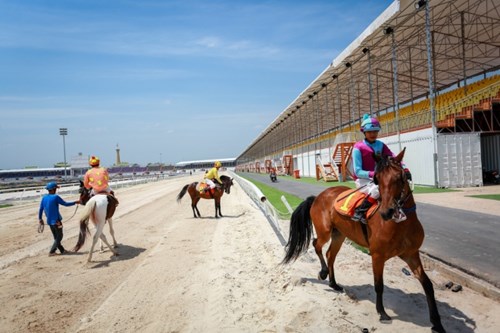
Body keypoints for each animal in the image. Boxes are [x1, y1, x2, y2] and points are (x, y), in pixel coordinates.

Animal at [282, 150, 446, 332]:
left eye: (400, 177)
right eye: (377, 179)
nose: (387, 212)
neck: (400, 224)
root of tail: (318, 196)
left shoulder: (411, 254)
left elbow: (428, 285)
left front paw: (437, 323)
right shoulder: (377, 256)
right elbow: (379, 284)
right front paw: (382, 313)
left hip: (339, 235)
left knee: (330, 254)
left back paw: (334, 283)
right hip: (325, 232)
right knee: (316, 245)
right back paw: (323, 273)